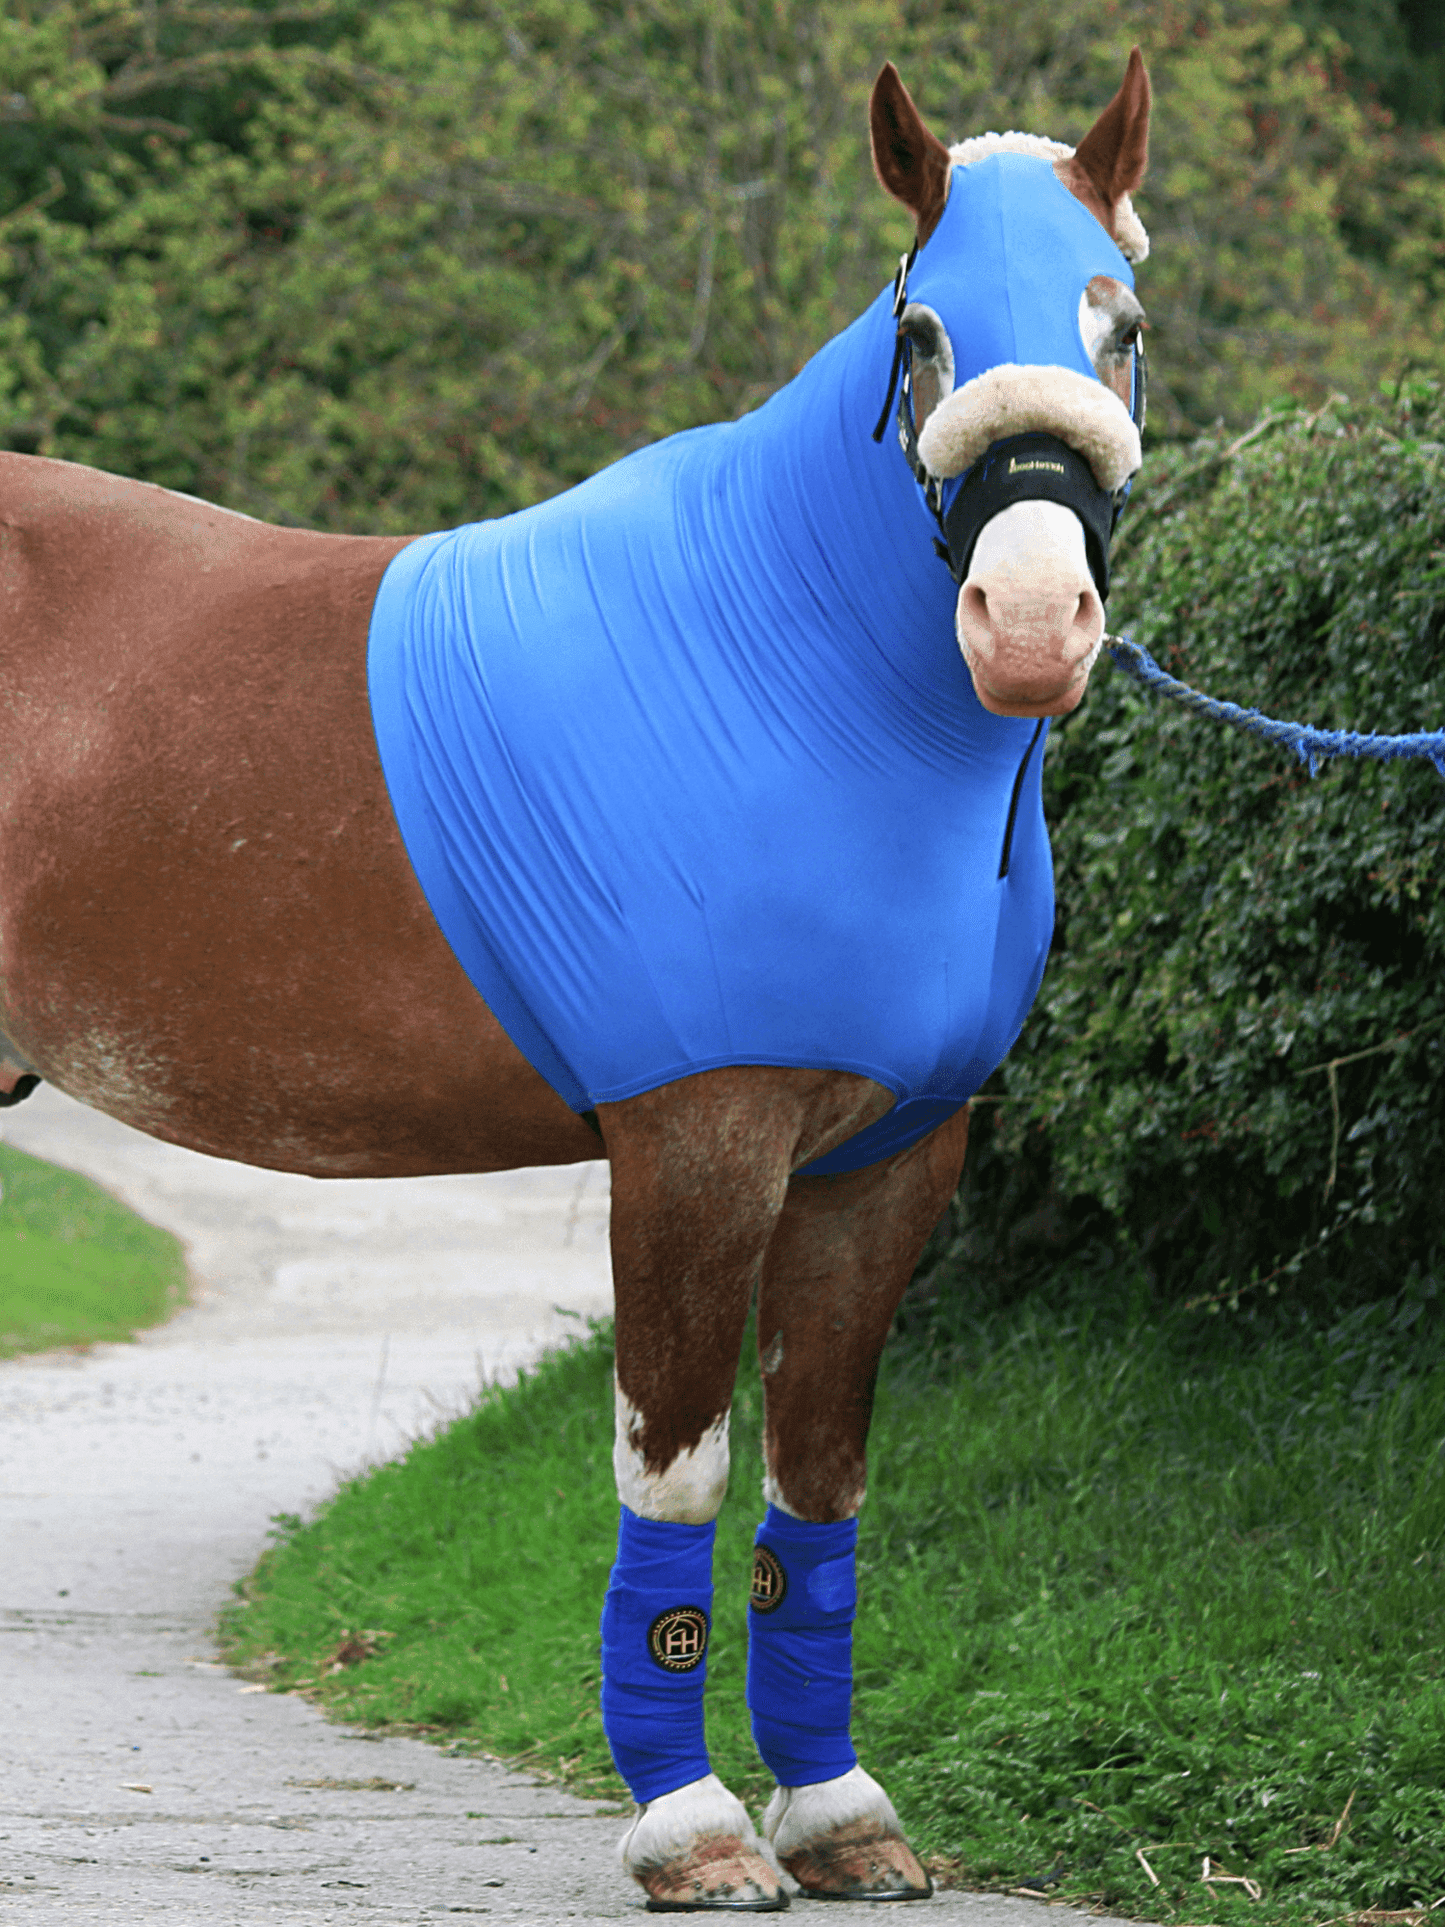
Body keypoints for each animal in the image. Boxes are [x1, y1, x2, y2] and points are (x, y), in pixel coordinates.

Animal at [0, 52, 1156, 1903]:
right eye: (922, 334)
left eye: (1117, 323)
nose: (1030, 620)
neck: (781, 665)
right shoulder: (694, 1144)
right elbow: (676, 1486)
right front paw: (690, 1828)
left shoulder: (886, 1162)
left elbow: (817, 1492)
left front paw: (840, 1813)